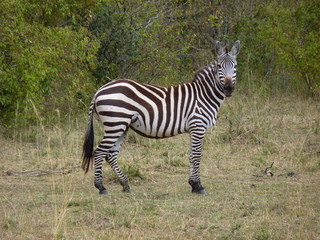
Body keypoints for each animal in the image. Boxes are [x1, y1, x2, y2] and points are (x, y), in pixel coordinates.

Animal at [81, 40, 241, 195]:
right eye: (219, 66)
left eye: (235, 66)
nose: (228, 88)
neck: (204, 95)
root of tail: (99, 91)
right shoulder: (198, 126)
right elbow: (196, 156)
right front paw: (198, 186)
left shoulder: (193, 129)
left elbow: (191, 156)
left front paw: (192, 184)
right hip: (116, 124)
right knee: (99, 152)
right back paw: (101, 187)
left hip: (121, 126)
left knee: (111, 155)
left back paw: (126, 185)